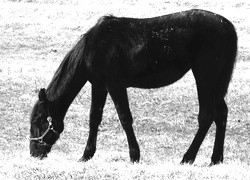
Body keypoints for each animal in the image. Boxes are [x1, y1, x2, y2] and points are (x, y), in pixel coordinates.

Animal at [28, 9, 236, 165]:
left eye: (38, 120)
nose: (34, 152)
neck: (94, 47)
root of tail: (226, 25)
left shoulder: (115, 85)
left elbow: (125, 118)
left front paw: (134, 155)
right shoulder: (99, 85)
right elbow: (94, 118)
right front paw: (86, 155)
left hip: (205, 77)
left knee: (207, 115)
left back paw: (187, 158)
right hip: (215, 83)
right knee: (221, 114)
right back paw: (215, 159)